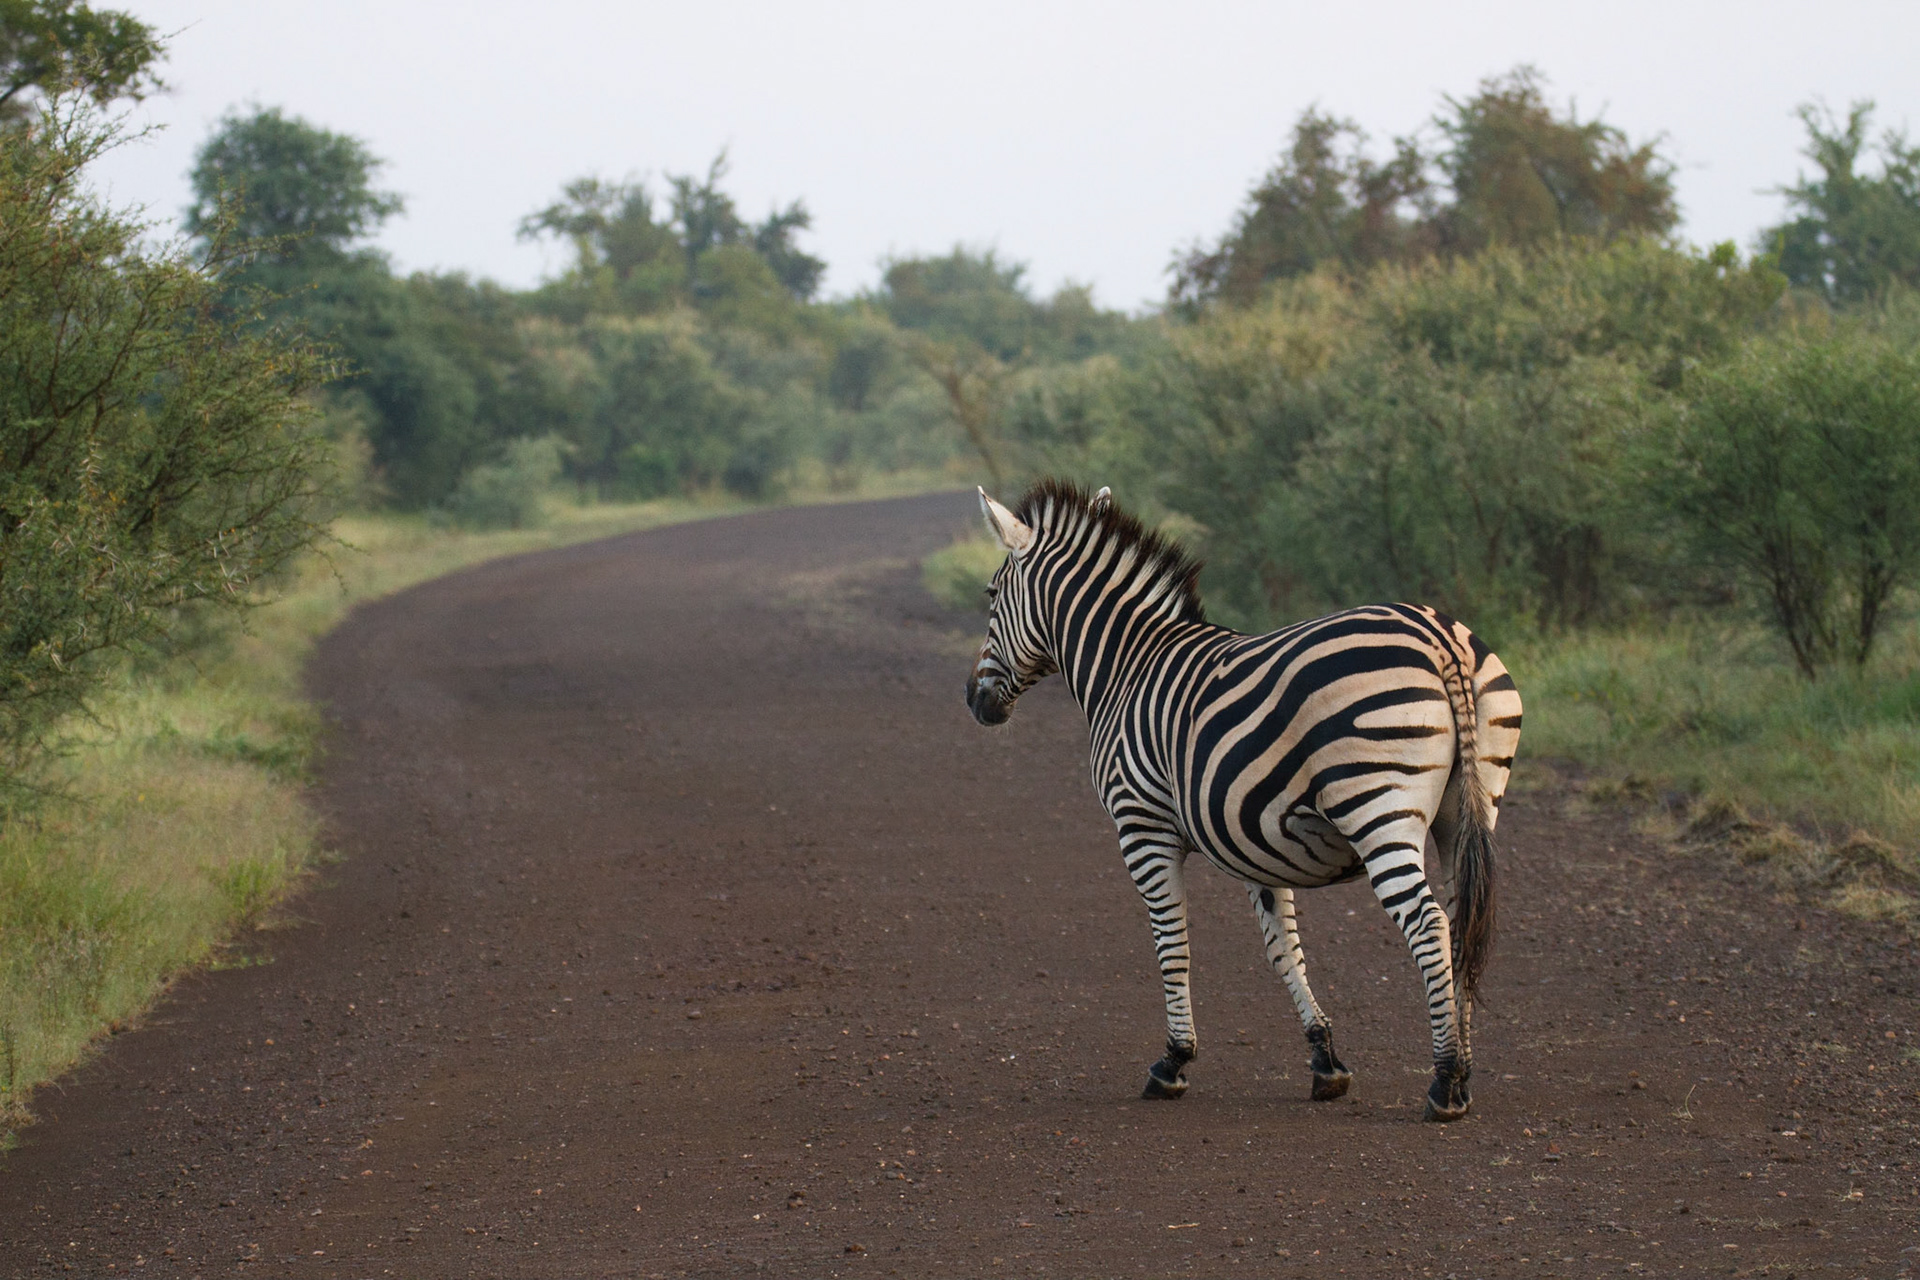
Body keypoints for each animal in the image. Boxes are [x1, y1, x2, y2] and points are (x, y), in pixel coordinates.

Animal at [963, 479, 1521, 1121]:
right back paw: (1465, 1074)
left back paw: (1444, 1082)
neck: (1127, 668)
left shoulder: (1142, 828)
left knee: (1428, 925)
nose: (975, 701)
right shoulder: (1256, 838)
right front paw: (1325, 1060)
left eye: (991, 595)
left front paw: (1173, 1062)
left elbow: (1172, 942)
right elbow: (1284, 951)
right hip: (1468, 808)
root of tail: (1439, 637)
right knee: (1460, 923)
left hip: (1377, 806)